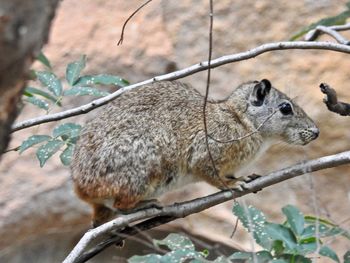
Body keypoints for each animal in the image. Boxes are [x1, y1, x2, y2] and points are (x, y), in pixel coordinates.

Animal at [71, 79, 320, 228]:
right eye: (286, 108)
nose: (316, 131)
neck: (241, 122)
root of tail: (82, 188)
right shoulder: (204, 156)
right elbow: (215, 177)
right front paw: (234, 184)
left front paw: (246, 177)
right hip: (146, 171)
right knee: (121, 205)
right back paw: (149, 204)